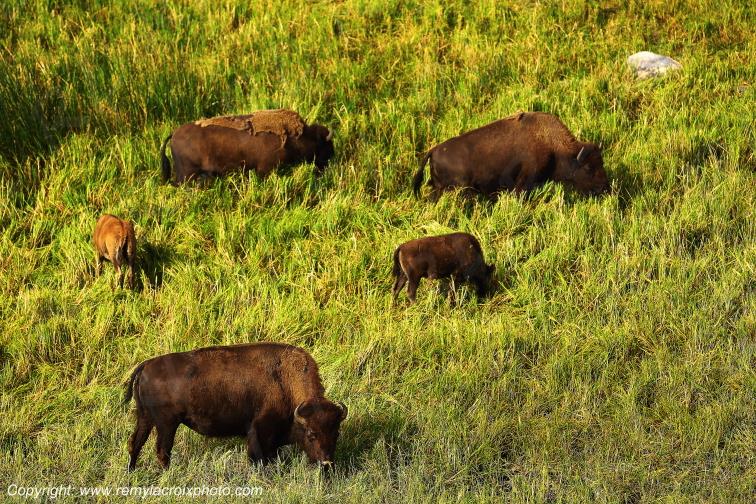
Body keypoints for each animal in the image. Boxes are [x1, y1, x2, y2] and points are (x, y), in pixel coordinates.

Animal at [124, 343, 348, 470]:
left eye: (336, 433)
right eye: (311, 434)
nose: (327, 463)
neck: (285, 381)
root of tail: (146, 365)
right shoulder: (260, 432)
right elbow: (259, 457)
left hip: (144, 418)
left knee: (135, 443)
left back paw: (131, 471)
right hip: (167, 424)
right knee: (162, 450)